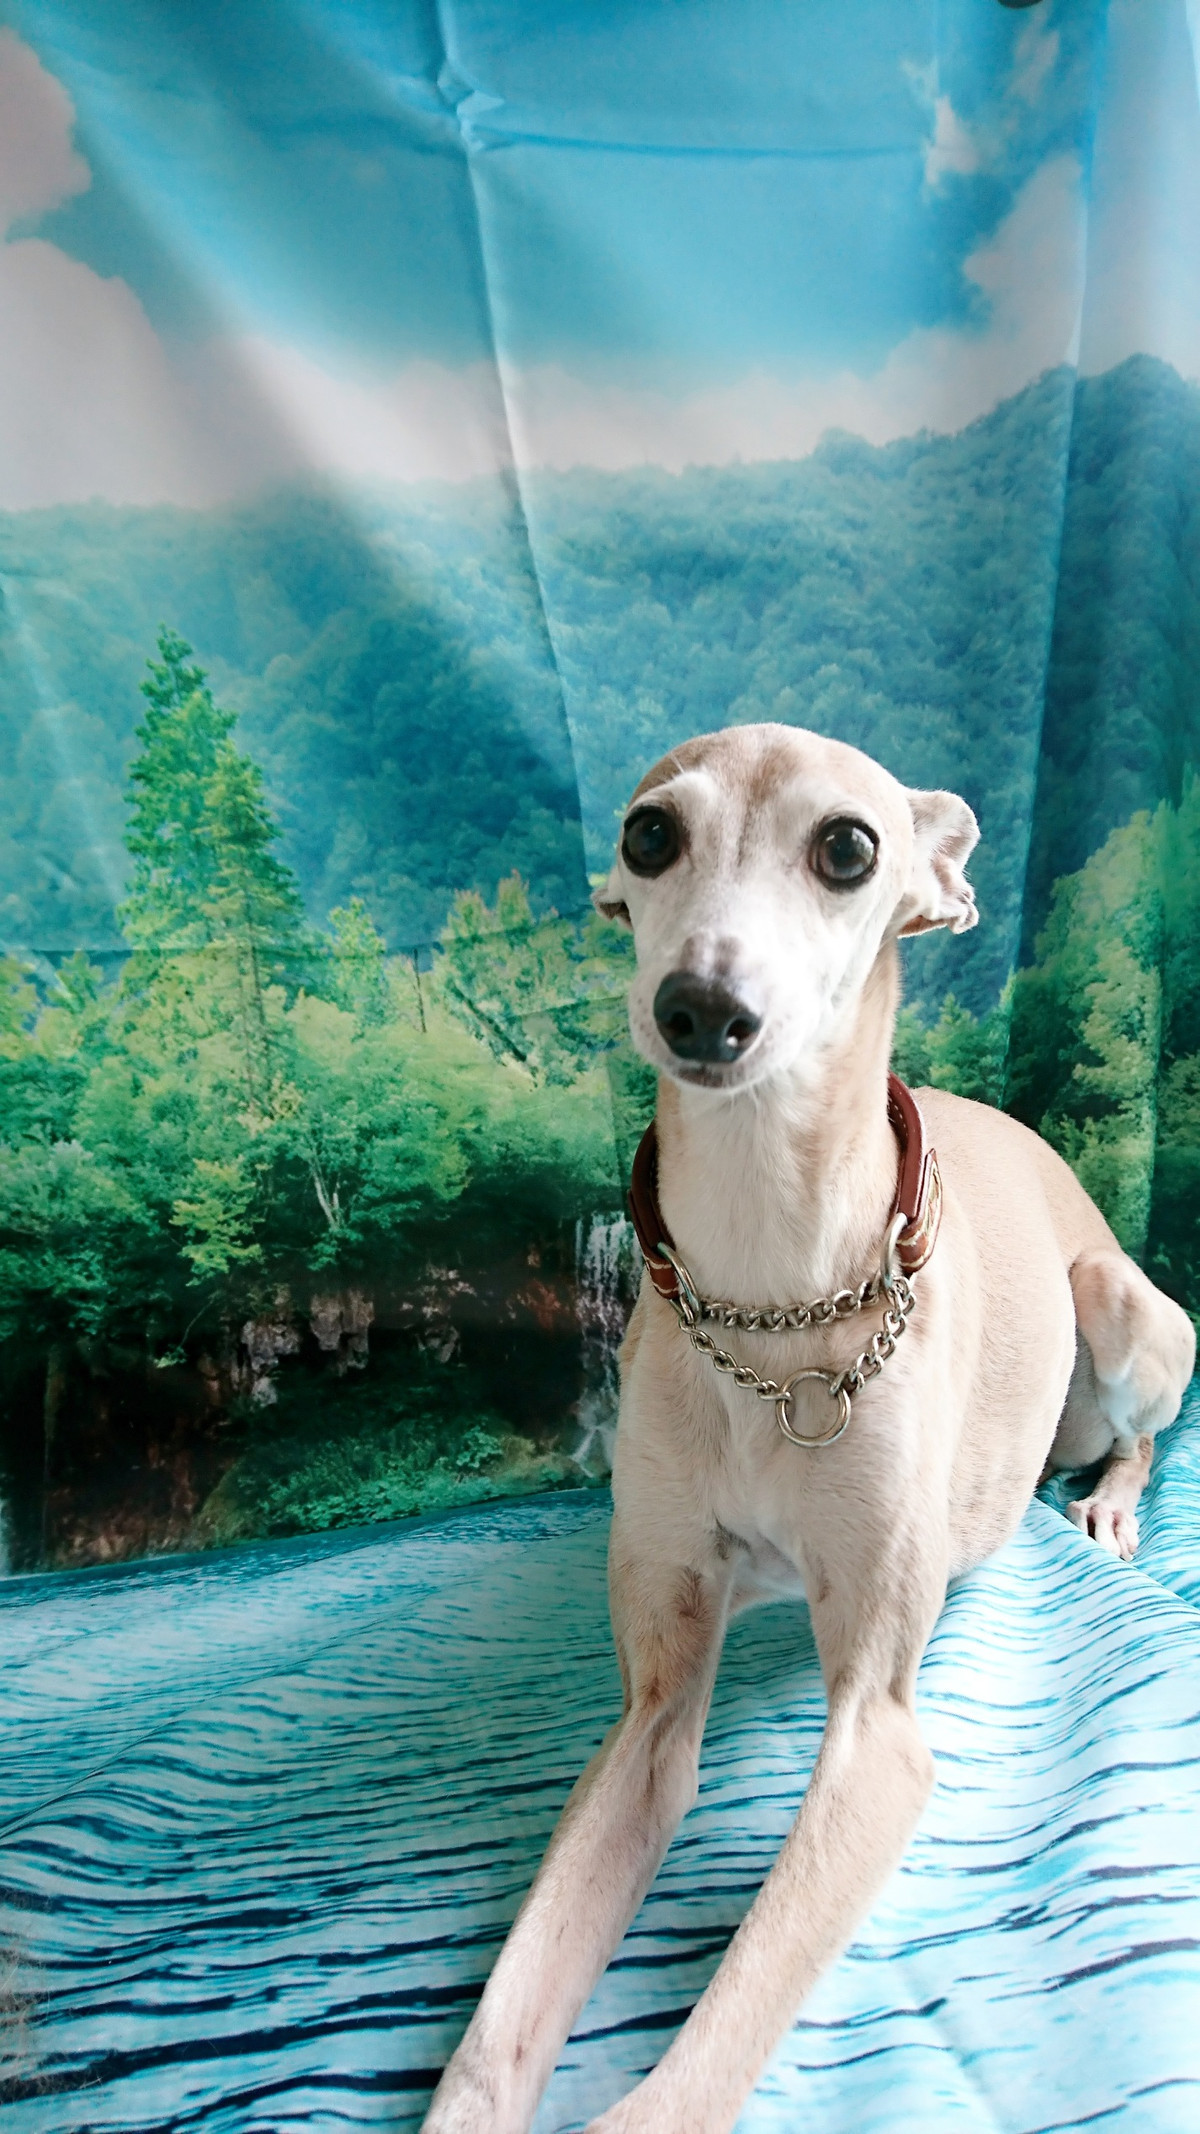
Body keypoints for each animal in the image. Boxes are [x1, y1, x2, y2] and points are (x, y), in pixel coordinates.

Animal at [424, 723, 1194, 2134]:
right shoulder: (651, 1711)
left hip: (1120, 1308)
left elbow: (712, 2040)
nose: (700, 1008)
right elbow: (501, 2029)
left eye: (847, 845)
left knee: (1146, 1428)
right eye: (649, 834)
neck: (772, 1293)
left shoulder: (880, 1734)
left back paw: (1113, 1500)